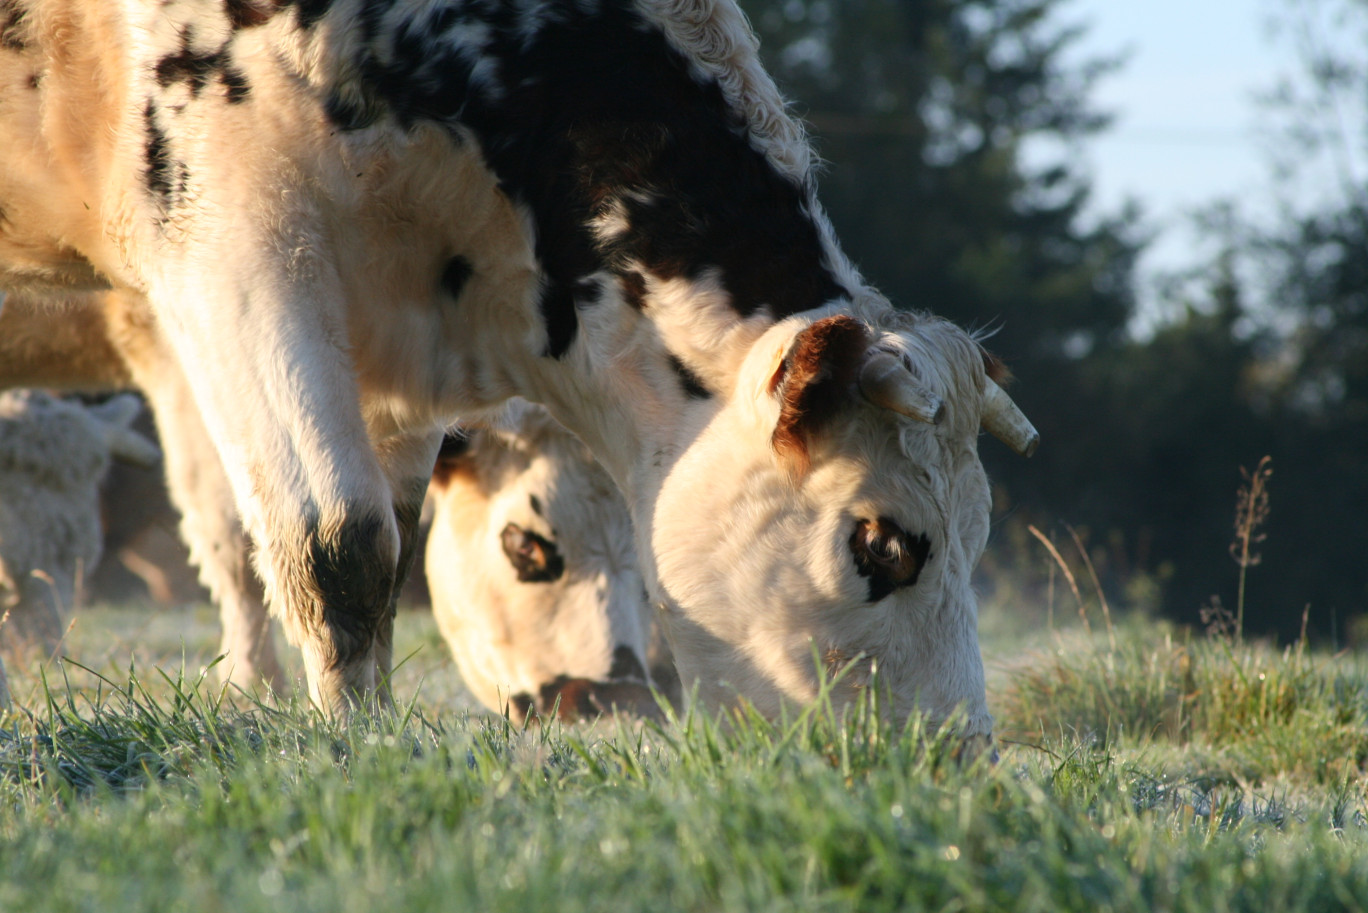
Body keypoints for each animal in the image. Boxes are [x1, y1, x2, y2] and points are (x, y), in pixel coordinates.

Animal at [0, 0, 1034, 744]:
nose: (955, 753)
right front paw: (338, 741)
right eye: (884, 543)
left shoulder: (395, 332)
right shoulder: (226, 256)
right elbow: (326, 538)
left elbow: (387, 546)